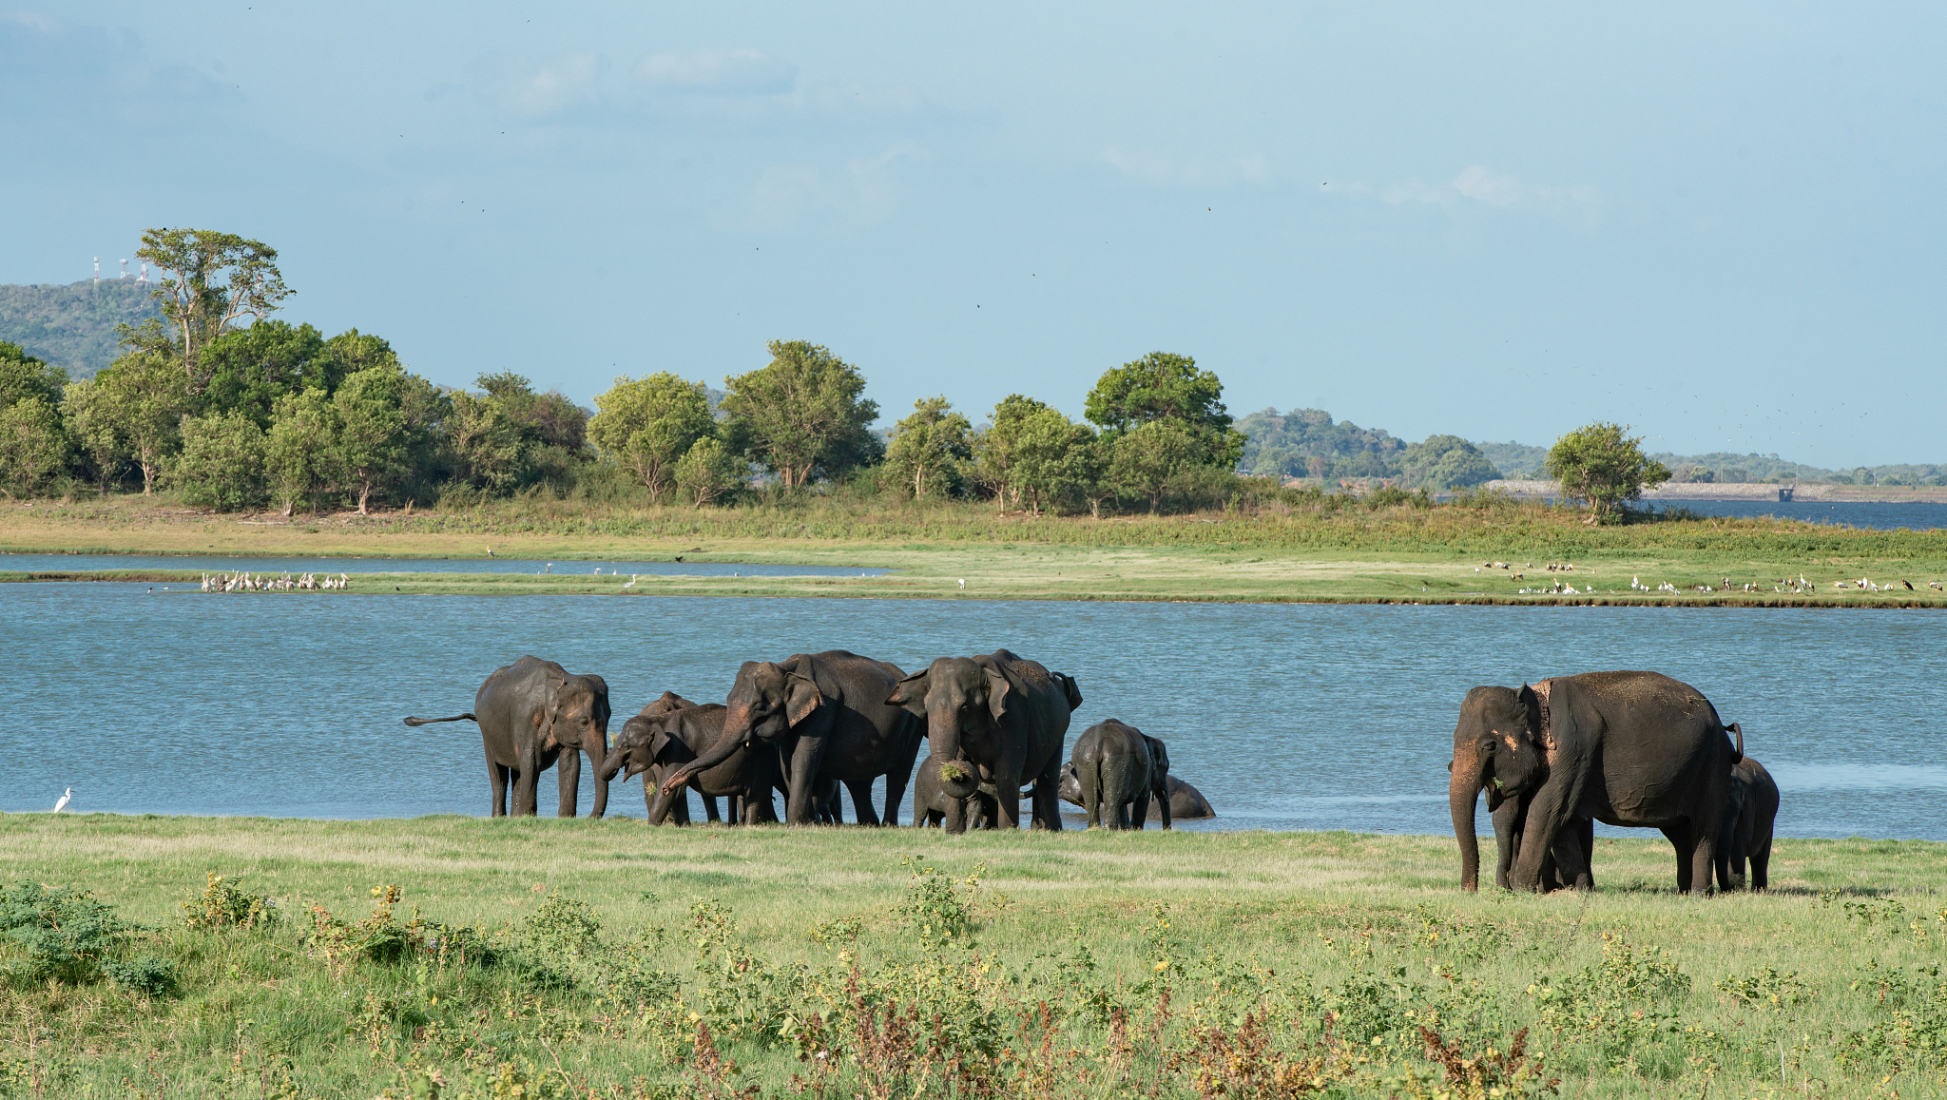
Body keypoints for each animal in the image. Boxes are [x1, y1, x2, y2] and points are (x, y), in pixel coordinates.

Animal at [410, 650, 615, 813]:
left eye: (610, 716)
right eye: (584, 722)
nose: (590, 817)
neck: (562, 679)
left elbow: (570, 763)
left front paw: (563, 818)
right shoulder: (525, 719)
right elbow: (532, 762)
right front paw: (528, 817)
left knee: (517, 774)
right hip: (487, 735)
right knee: (499, 777)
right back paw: (500, 817)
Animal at [661, 650, 918, 825]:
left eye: (760, 709)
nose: (666, 787)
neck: (787, 668)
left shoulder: (823, 710)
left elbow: (804, 758)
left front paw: (796, 823)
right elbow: (787, 763)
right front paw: (811, 822)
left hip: (912, 724)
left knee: (898, 776)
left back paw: (888, 825)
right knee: (859, 783)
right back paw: (869, 824)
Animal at [891, 642, 1090, 833]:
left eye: (965, 708)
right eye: (926, 706)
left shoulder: (1013, 719)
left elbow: (1007, 775)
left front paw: (1007, 831)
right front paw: (955, 833)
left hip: (1058, 733)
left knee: (1048, 780)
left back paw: (1053, 829)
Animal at [1448, 669, 1752, 891]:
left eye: (1489, 746)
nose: (1470, 890)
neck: (1535, 695)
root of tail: (1721, 724)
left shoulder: (1573, 748)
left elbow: (1547, 810)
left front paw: (1524, 890)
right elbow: (1564, 819)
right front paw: (1580, 889)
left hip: (1712, 766)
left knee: (1704, 826)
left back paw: (1699, 892)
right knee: (1679, 833)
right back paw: (1684, 890)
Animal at [1721, 755, 1783, 891]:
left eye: (1737, 812)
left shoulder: (1747, 808)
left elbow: (1736, 848)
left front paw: (1736, 888)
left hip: (1768, 823)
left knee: (1760, 857)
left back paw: (1758, 890)